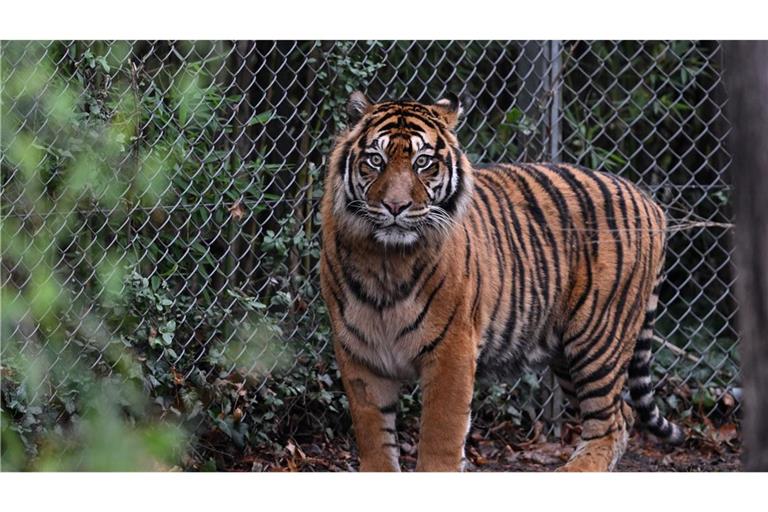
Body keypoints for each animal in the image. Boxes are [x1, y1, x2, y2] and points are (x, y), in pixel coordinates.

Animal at [318, 92, 684, 472]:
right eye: (375, 160)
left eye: (423, 163)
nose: (395, 206)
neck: (385, 260)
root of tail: (649, 202)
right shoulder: (359, 353)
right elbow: (374, 435)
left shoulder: (452, 349)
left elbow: (440, 436)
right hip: (566, 351)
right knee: (623, 413)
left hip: (598, 337)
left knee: (612, 420)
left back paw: (575, 470)